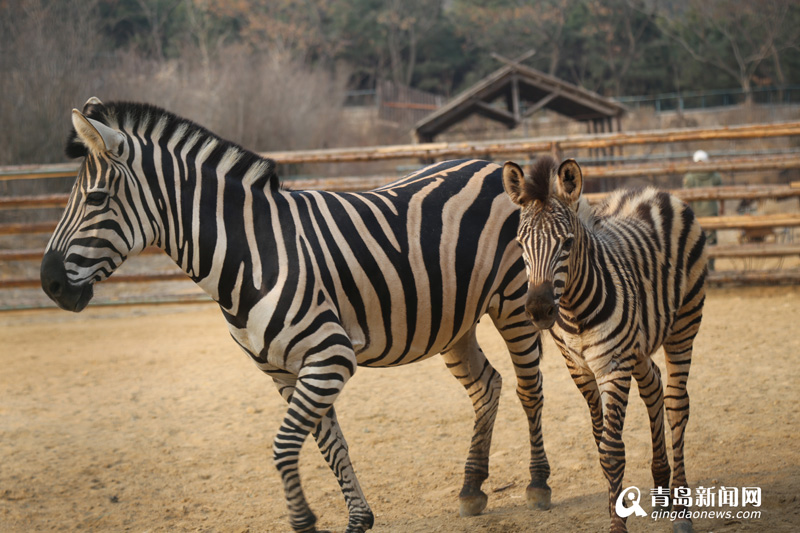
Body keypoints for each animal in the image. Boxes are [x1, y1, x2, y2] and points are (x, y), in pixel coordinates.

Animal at [40, 98, 552, 532]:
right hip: (452, 320)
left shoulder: (330, 356)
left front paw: (304, 520)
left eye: (95, 199)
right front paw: (358, 520)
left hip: (514, 302)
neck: (252, 253)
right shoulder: (283, 370)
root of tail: (490, 165)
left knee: (529, 388)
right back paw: (471, 488)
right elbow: (329, 443)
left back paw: (538, 484)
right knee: (486, 386)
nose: (49, 284)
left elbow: (285, 444)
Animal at [504, 155, 708, 532]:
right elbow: (600, 441)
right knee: (654, 386)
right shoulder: (578, 367)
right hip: (638, 342)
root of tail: (653, 192)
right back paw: (661, 487)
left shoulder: (613, 365)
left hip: (684, 324)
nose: (538, 310)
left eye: (567, 243)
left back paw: (682, 508)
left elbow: (611, 450)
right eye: (520, 244)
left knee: (677, 404)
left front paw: (617, 523)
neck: (574, 310)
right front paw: (619, 506)